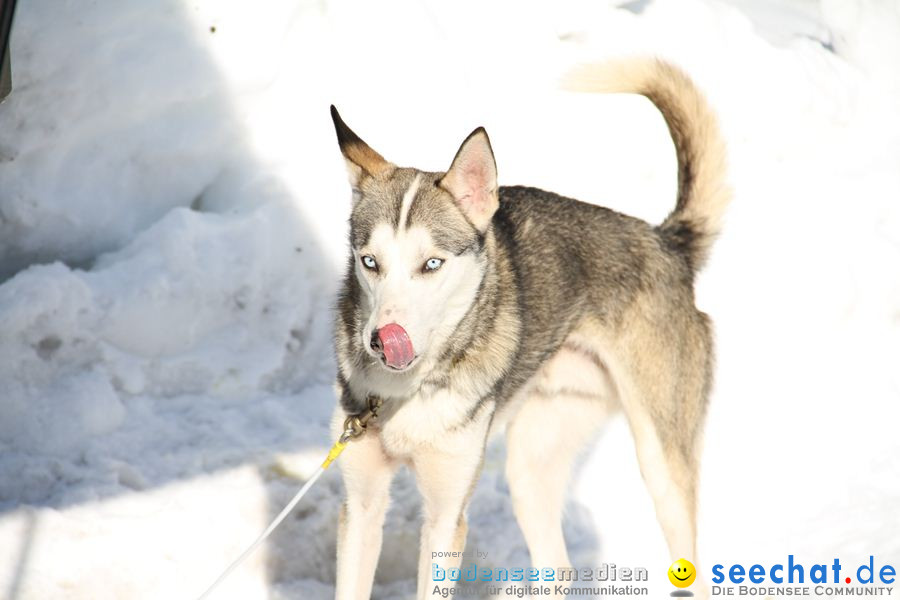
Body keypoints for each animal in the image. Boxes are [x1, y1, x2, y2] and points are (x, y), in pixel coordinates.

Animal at [330, 57, 732, 600]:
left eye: (431, 264)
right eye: (370, 261)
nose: (381, 341)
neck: (405, 393)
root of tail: (666, 242)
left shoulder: (445, 518)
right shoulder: (361, 505)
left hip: (661, 462)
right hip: (531, 468)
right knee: (557, 566)